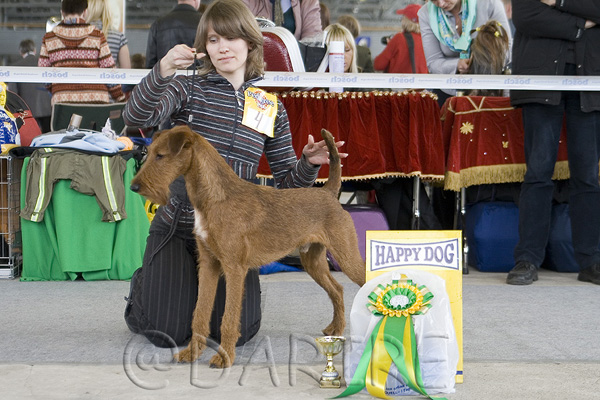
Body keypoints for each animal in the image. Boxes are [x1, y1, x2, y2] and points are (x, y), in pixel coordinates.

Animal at [130, 126, 366, 368]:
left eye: (160, 156)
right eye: (149, 153)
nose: (134, 186)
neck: (215, 198)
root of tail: (328, 192)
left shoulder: (234, 268)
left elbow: (229, 318)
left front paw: (224, 356)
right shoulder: (208, 264)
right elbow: (200, 313)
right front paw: (192, 353)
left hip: (346, 256)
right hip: (313, 261)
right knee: (337, 289)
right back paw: (335, 329)